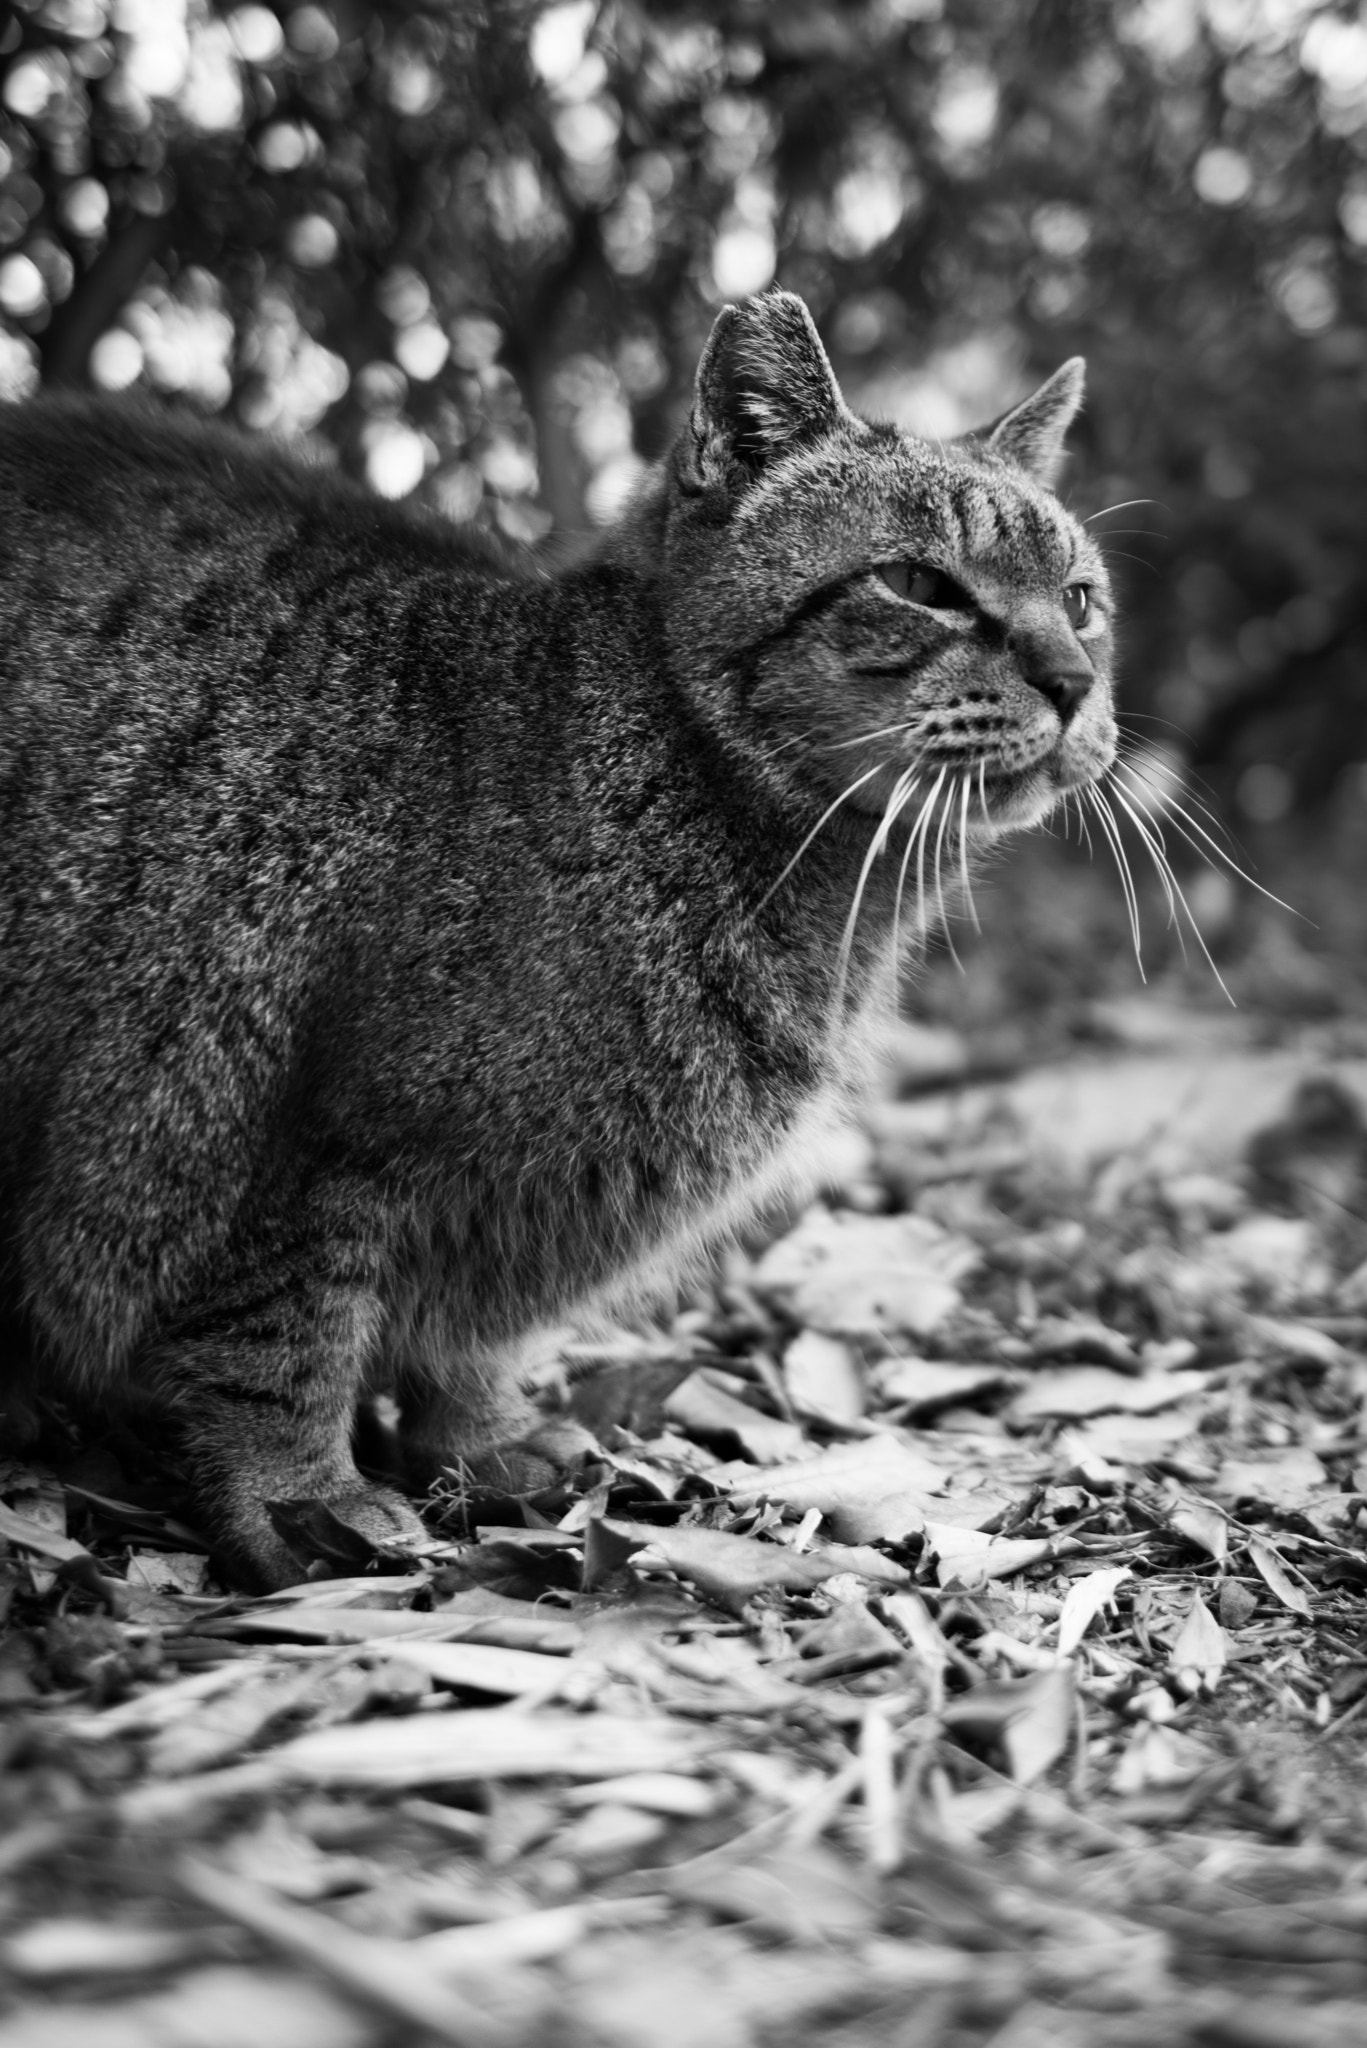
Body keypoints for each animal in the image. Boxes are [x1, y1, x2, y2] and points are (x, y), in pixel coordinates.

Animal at [0, 288, 1114, 1581]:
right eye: (918, 582)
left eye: (1079, 598)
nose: (1073, 677)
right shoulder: (288, 1144)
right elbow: (280, 1344)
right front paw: (303, 1497)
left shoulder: (498, 1213)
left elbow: (464, 1345)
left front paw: (479, 1442)